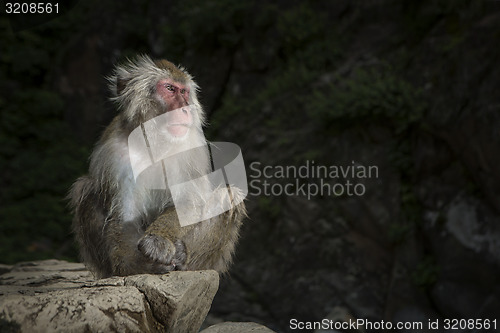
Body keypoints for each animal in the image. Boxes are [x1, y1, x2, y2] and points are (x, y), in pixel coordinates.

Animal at [67, 56, 247, 278]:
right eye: (169, 88)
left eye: (184, 92)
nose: (185, 108)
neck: (155, 141)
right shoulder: (116, 154)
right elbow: (124, 217)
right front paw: (138, 266)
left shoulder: (193, 148)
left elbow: (189, 202)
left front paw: (157, 240)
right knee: (87, 188)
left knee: (228, 196)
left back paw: (184, 257)